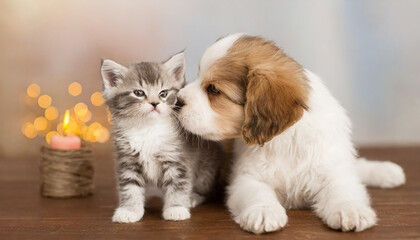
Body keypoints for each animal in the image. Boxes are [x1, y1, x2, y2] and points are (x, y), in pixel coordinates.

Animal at [100, 53, 223, 223]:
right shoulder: (127, 160)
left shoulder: (177, 159)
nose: (154, 103)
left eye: (163, 93)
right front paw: (129, 210)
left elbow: (178, 185)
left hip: (206, 172)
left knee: (207, 190)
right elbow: (130, 188)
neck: (148, 128)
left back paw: (192, 197)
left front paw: (176, 209)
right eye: (139, 93)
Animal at [176, 32, 406, 233]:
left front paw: (350, 210)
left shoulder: (332, 169)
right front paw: (264, 212)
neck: (284, 139)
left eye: (213, 90)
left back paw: (387, 171)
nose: (176, 101)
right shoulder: (246, 178)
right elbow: (258, 193)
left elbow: (343, 188)